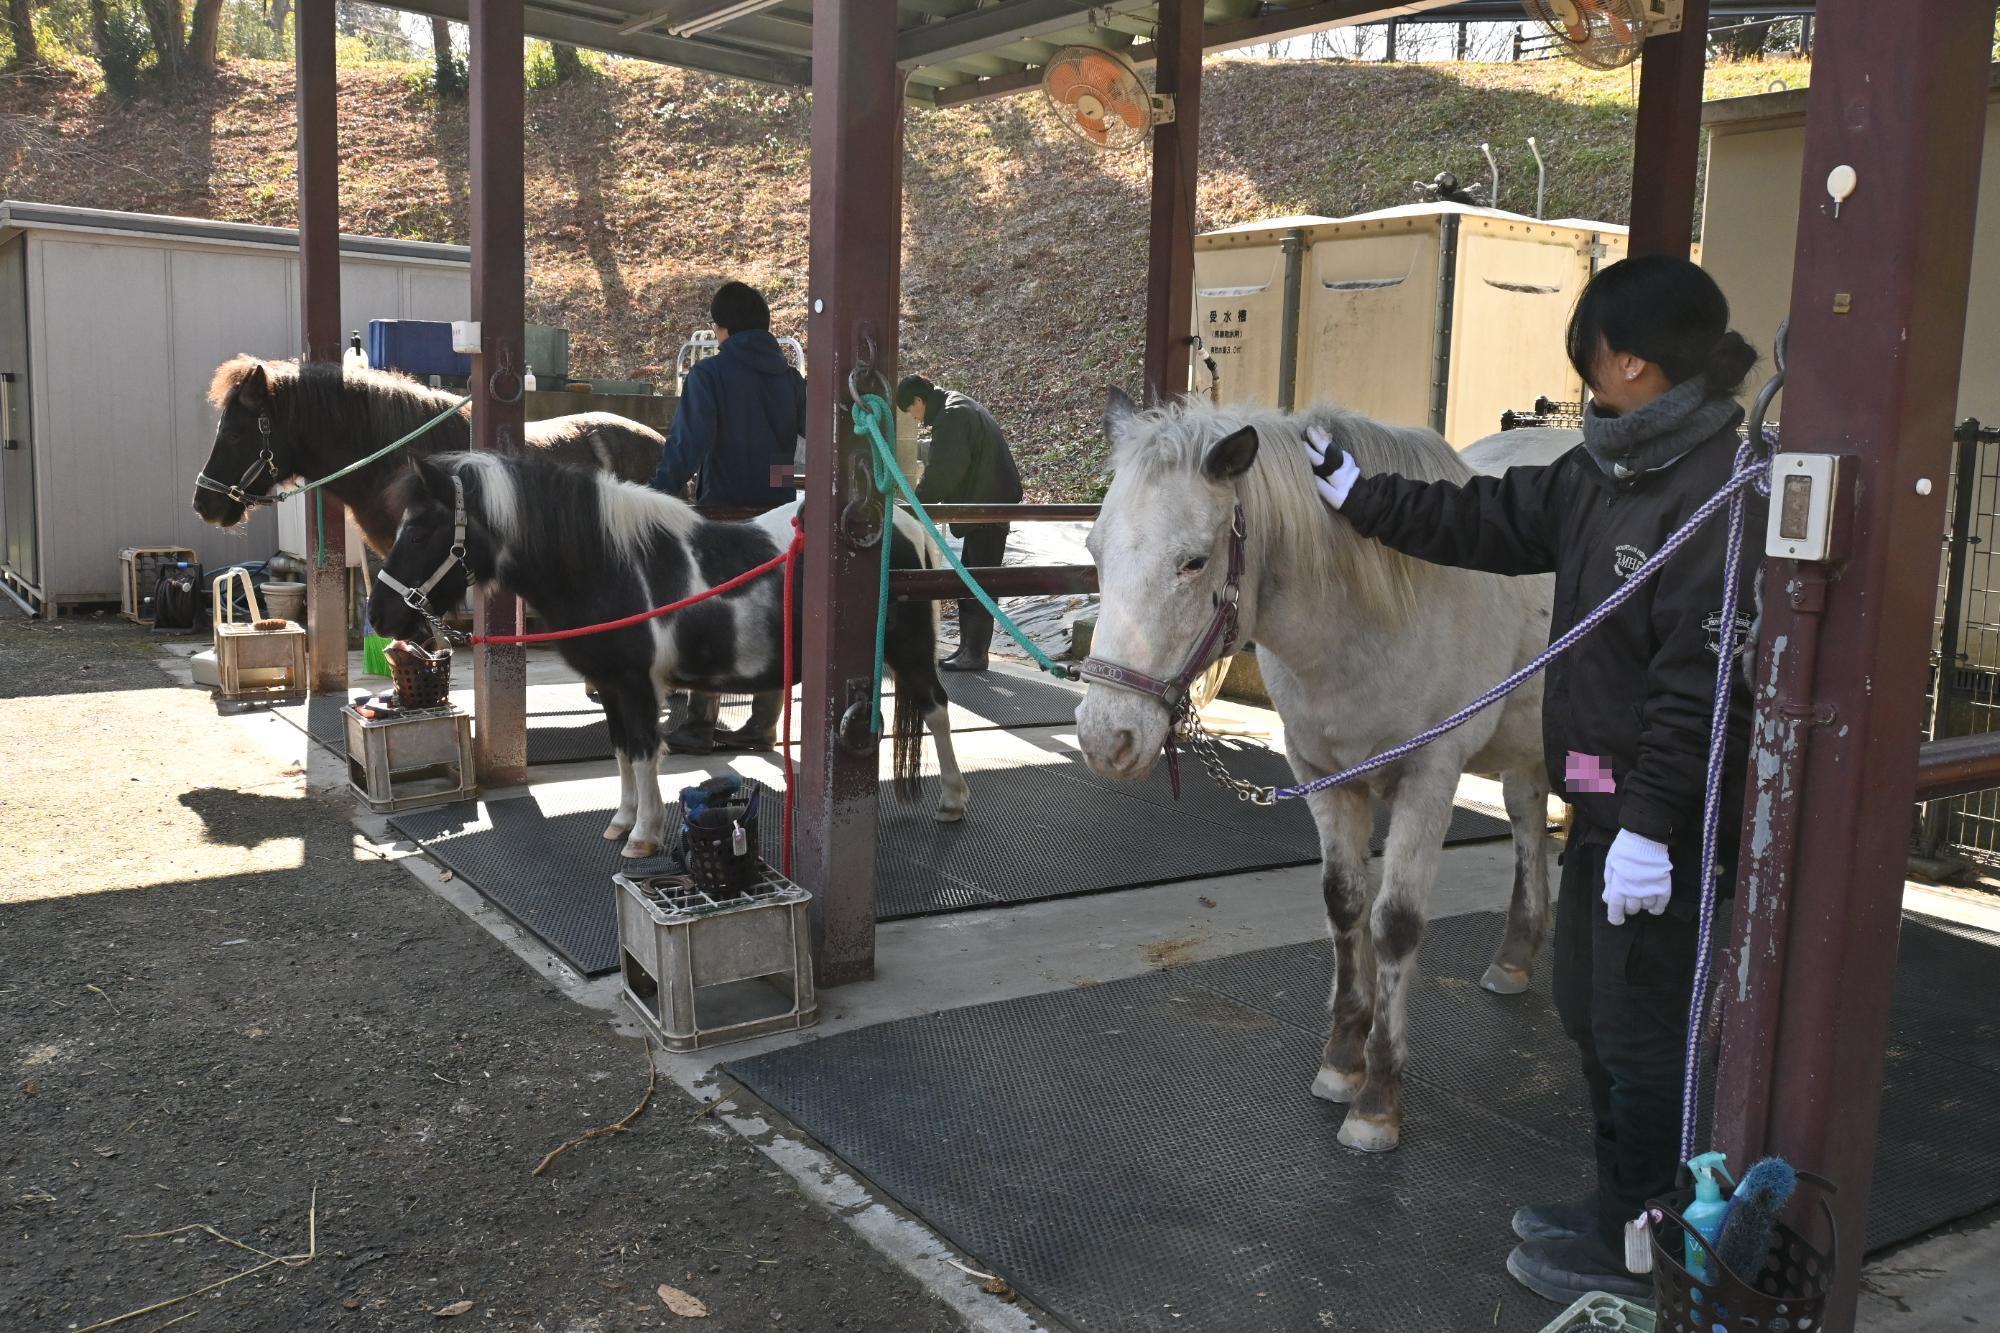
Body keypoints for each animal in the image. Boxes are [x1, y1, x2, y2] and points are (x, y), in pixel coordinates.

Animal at [372, 452, 972, 856]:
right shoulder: (610, 684)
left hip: (911, 654)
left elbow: (643, 752)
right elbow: (620, 751)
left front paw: (643, 835)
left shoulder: (636, 683)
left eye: (420, 530)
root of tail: (905, 525)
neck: (608, 564)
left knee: (938, 711)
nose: (379, 617)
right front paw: (621, 819)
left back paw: (952, 800)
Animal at [1080, 386, 1576, 1152]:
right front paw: (1343, 1062)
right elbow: (1344, 905)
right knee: (1527, 817)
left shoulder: (1431, 774)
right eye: (1095, 550)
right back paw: (1516, 956)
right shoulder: (1321, 771)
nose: (1107, 738)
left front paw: (1376, 1102)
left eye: (1193, 562)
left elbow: (1395, 921)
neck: (1373, 613)